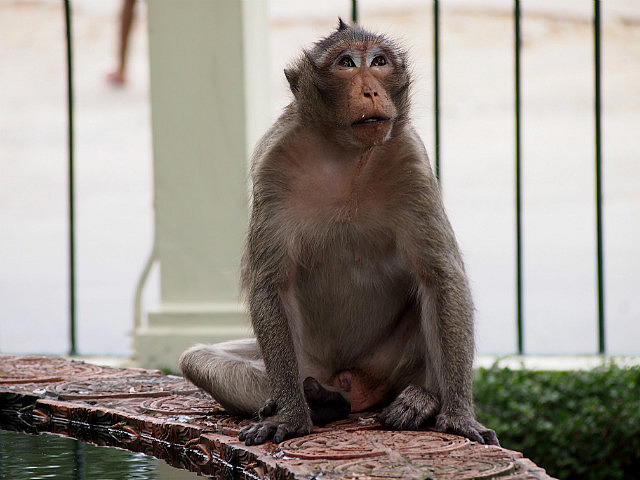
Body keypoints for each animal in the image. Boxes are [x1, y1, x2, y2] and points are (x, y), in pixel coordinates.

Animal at [179, 19, 499, 447]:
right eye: (346, 63)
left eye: (379, 62)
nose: (371, 90)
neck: (347, 155)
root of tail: (356, 388)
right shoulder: (272, 165)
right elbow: (272, 284)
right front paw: (292, 415)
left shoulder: (412, 161)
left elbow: (440, 278)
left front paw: (460, 415)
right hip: (312, 362)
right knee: (198, 360)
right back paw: (316, 402)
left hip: (387, 366)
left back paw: (422, 399)